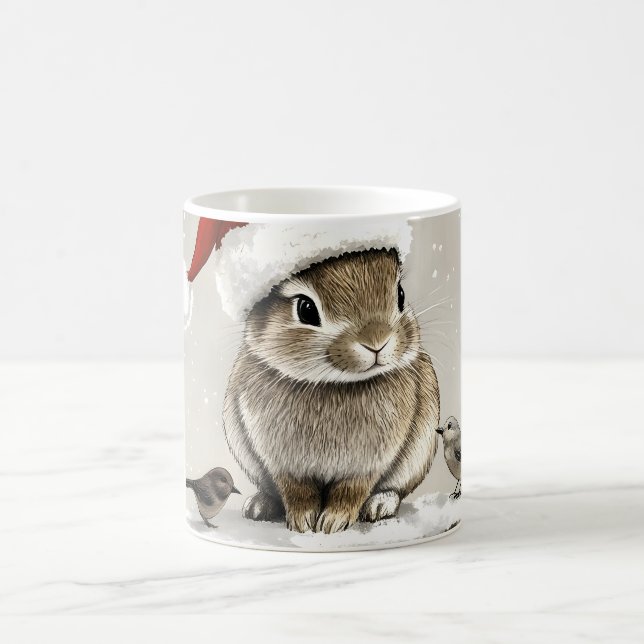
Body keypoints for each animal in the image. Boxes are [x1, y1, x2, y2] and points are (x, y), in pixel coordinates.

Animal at [223, 247, 440, 534]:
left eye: (401, 294)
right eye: (306, 309)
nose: (377, 341)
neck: (334, 383)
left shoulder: (367, 463)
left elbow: (351, 490)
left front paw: (333, 522)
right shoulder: (284, 463)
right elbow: (296, 491)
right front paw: (303, 522)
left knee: (396, 488)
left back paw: (380, 505)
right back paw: (259, 505)